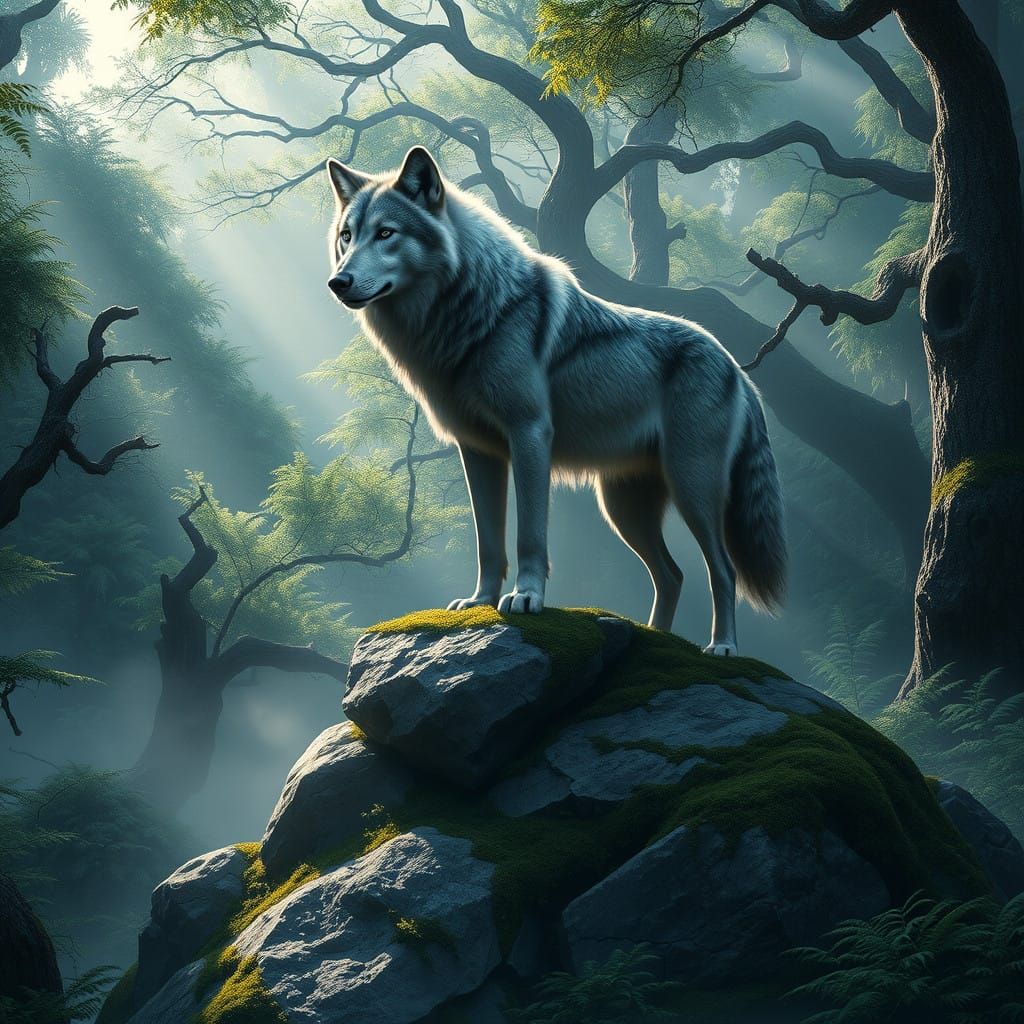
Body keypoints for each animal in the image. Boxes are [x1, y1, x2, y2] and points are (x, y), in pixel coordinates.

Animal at [325, 146, 786, 654]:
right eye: (347, 236)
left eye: (386, 233)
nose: (338, 282)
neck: (470, 312)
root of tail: (739, 369)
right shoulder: (478, 451)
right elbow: (488, 542)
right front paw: (480, 601)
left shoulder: (529, 435)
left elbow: (529, 534)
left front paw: (526, 598)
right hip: (623, 508)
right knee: (672, 574)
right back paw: (654, 639)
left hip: (692, 490)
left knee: (722, 571)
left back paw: (722, 647)